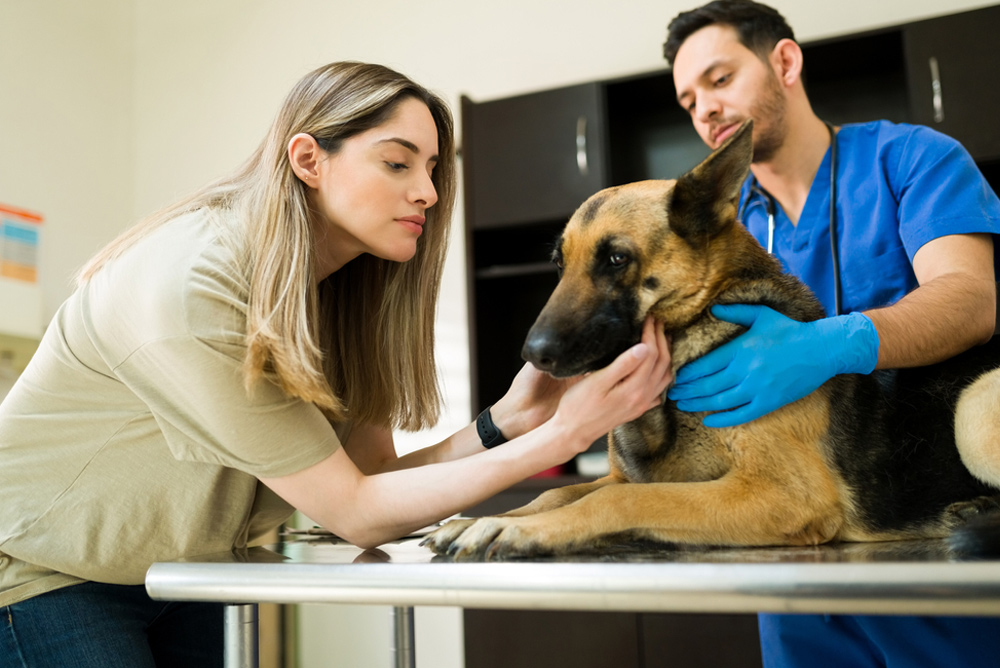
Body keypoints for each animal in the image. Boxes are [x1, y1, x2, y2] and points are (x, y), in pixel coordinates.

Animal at [426, 120, 1000, 560]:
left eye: (616, 258)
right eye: (558, 264)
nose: (534, 356)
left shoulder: (783, 494)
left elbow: (616, 502)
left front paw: (516, 528)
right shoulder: (622, 477)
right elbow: (557, 494)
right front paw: (487, 518)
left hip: (972, 409)